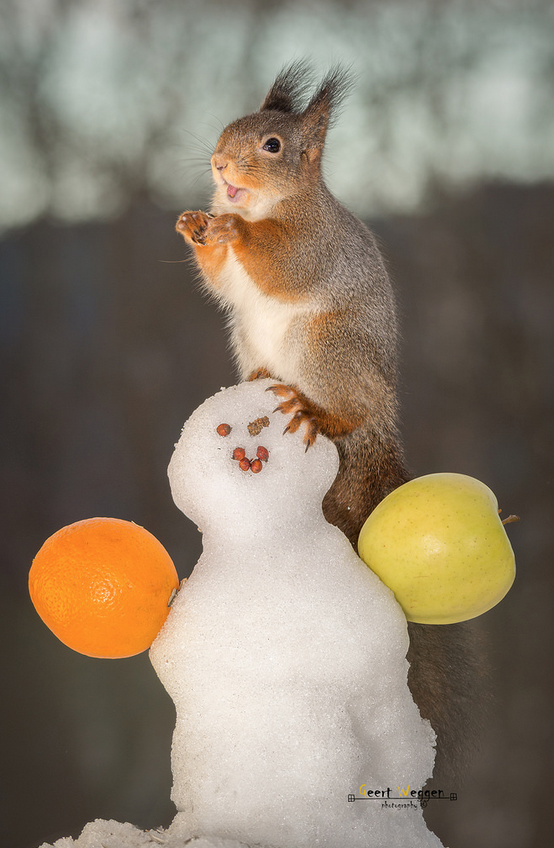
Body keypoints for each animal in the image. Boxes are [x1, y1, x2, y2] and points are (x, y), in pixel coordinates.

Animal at [175, 61, 480, 776]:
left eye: (272, 146)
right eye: (228, 128)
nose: (219, 163)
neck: (261, 207)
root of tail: (379, 428)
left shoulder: (313, 245)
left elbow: (281, 264)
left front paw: (234, 233)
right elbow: (222, 280)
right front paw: (195, 222)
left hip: (327, 346)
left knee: (343, 409)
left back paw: (315, 409)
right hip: (248, 340)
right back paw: (259, 382)